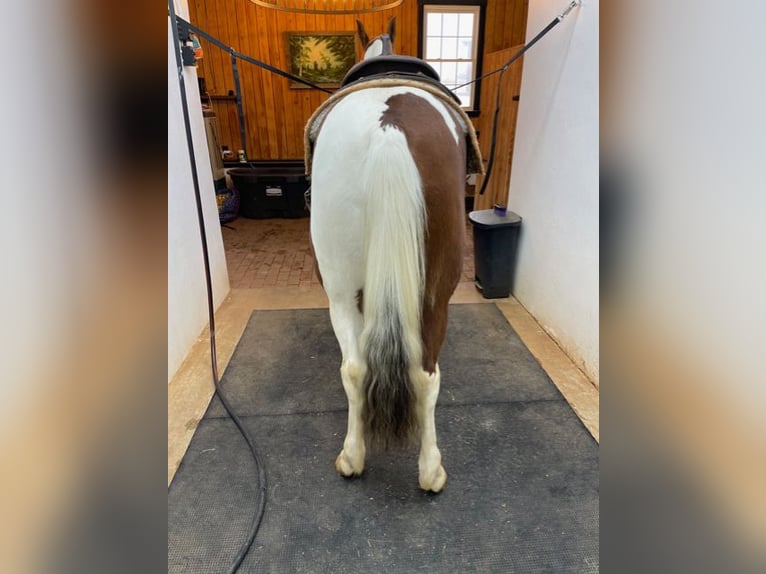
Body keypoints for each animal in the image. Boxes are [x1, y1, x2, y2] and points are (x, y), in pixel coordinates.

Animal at [308, 18, 473, 493]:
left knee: (356, 367)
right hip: (434, 294)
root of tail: (390, 123)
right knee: (423, 372)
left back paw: (354, 457)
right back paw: (430, 470)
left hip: (341, 287)